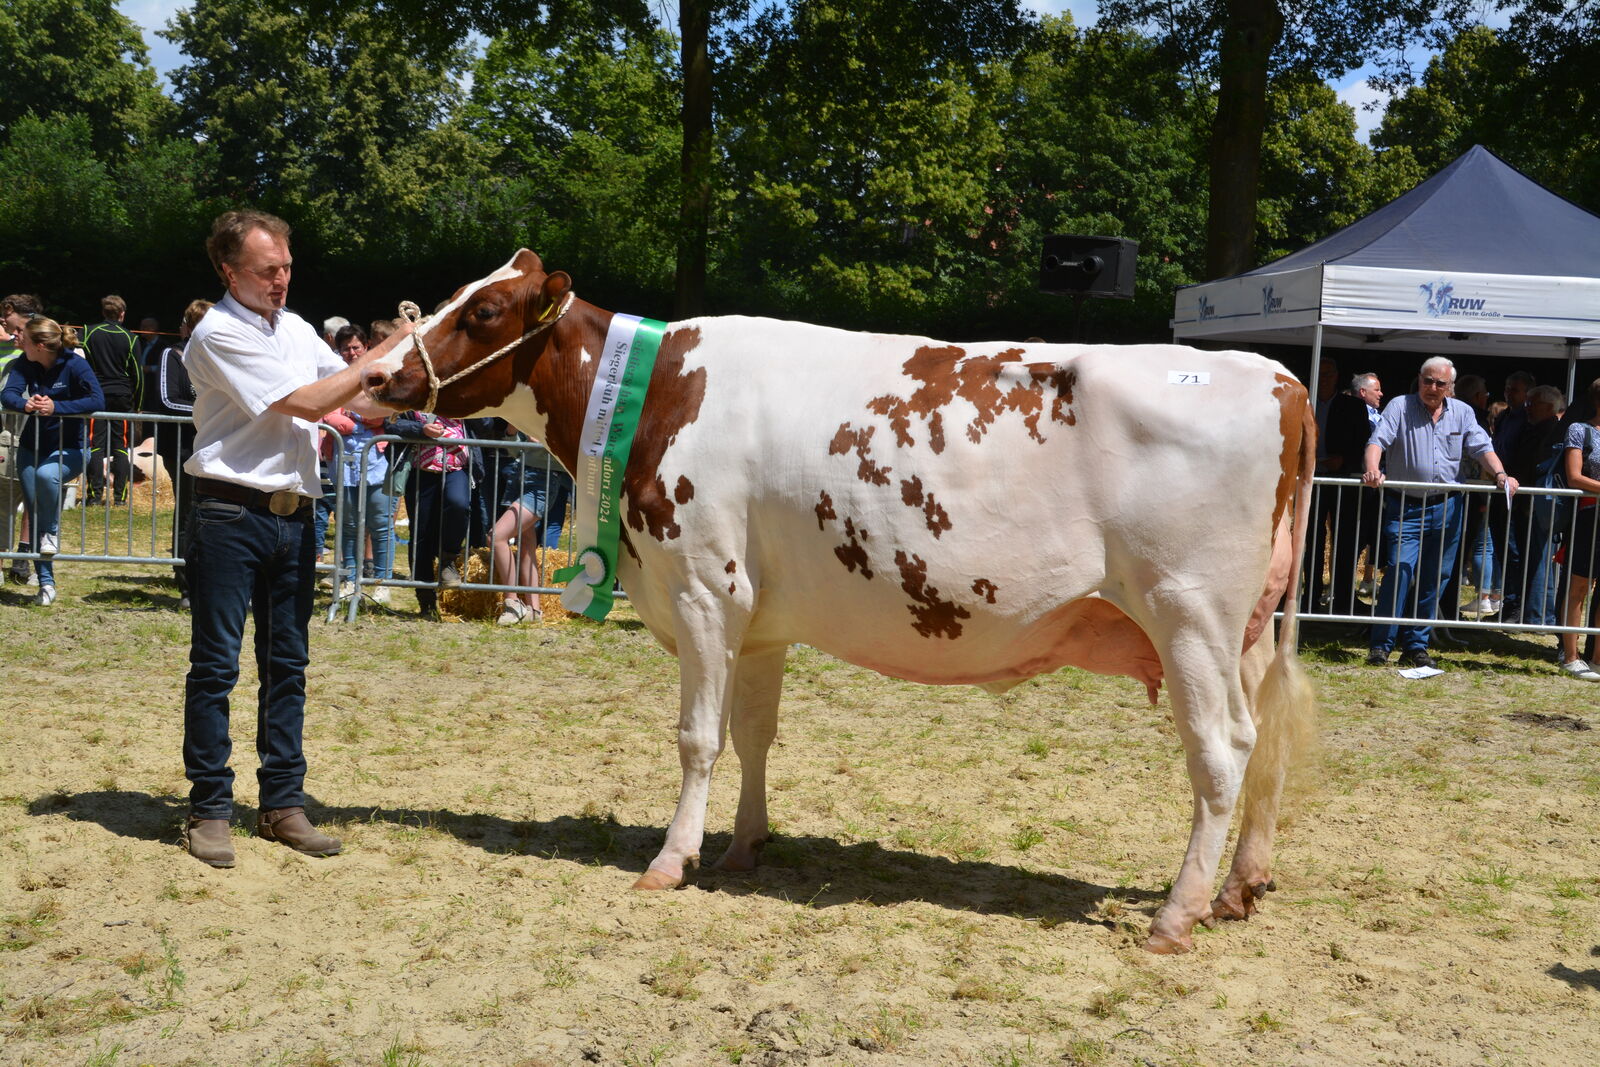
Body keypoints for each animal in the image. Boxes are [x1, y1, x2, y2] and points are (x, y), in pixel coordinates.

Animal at [368, 251, 1318, 953]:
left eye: (484, 312)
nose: (376, 378)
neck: (659, 392)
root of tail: (1277, 375)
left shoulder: (703, 589)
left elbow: (698, 737)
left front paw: (673, 857)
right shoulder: (756, 618)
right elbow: (754, 732)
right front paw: (745, 843)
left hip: (1188, 611)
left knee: (1221, 751)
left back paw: (1176, 913)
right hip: (1243, 631)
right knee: (1265, 740)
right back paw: (1240, 887)